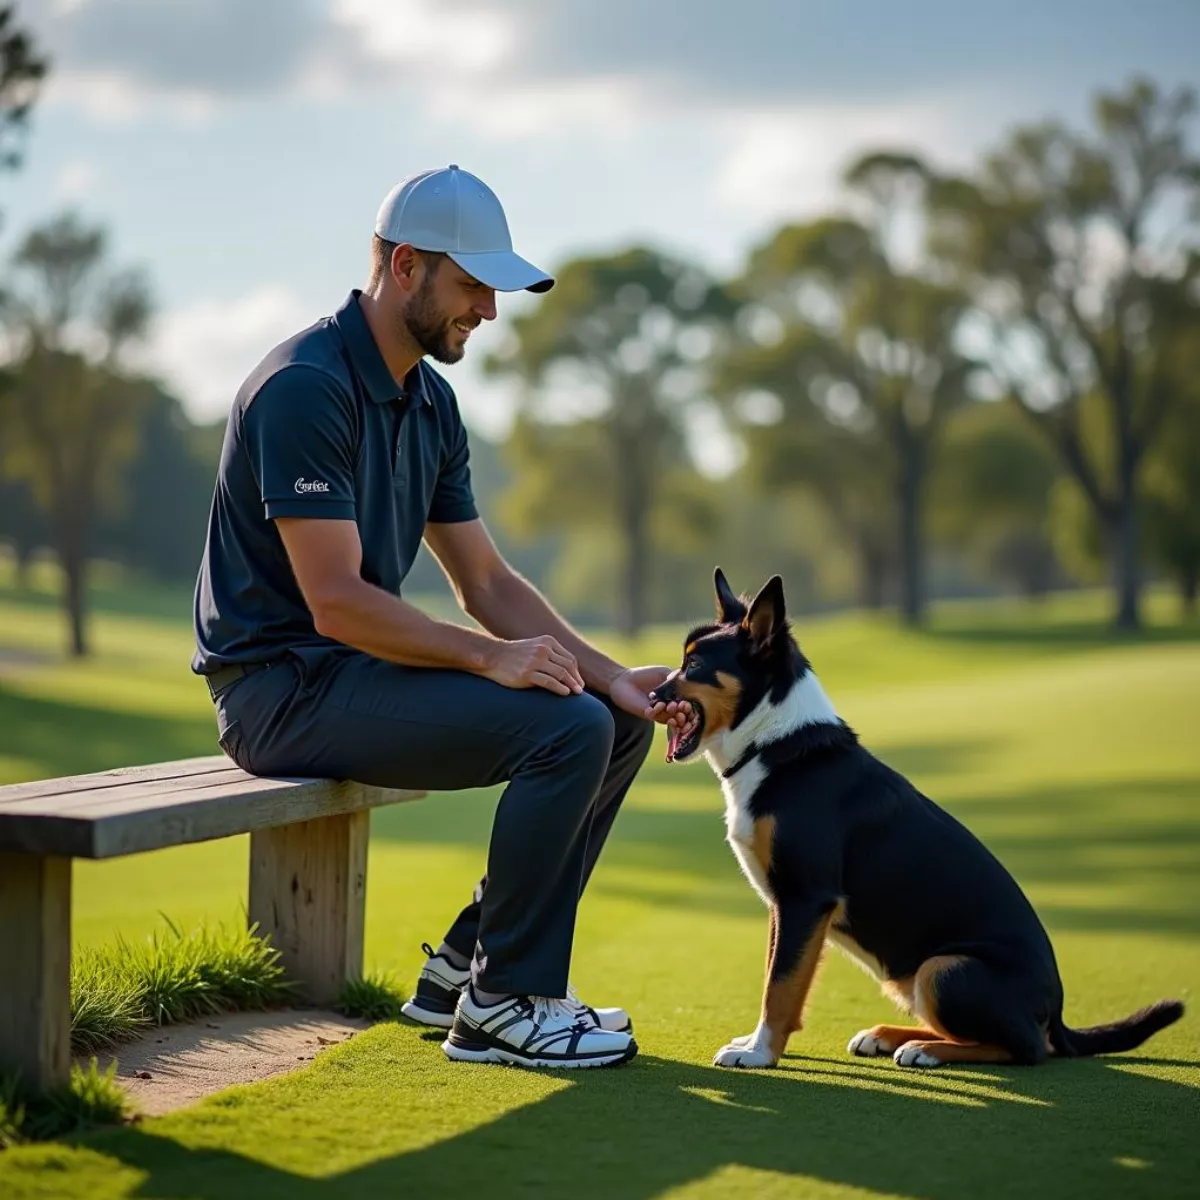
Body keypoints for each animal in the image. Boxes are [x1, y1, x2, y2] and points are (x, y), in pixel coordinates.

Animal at [648, 568, 1180, 1070]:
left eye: (695, 664)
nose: (652, 695)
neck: (774, 742)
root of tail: (1058, 1014)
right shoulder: (787, 907)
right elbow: (778, 979)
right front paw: (756, 1043)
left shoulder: (805, 897)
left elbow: (780, 986)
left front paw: (759, 1053)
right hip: (916, 978)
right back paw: (890, 1037)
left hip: (944, 970)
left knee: (1027, 1048)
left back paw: (926, 1050)